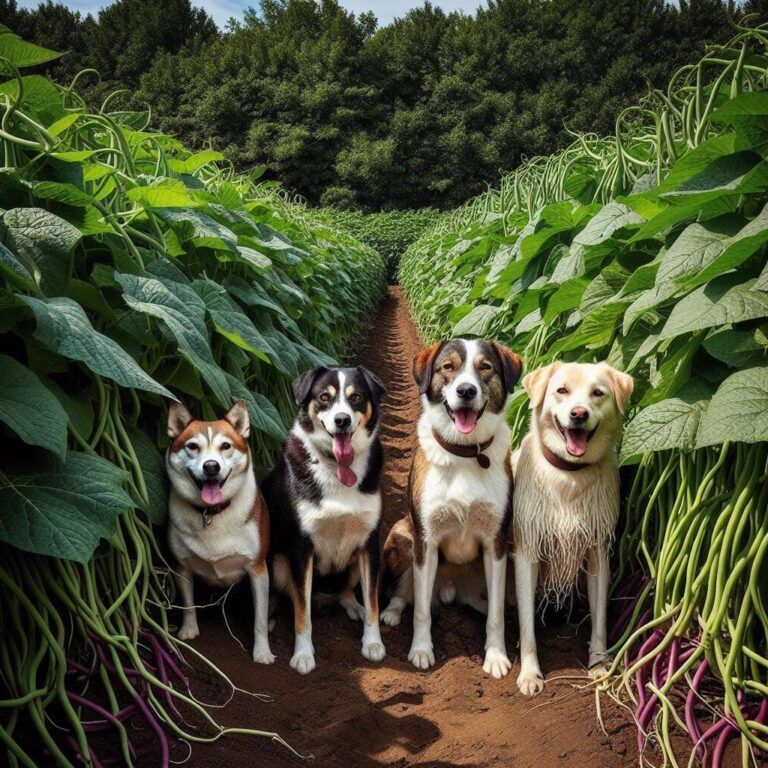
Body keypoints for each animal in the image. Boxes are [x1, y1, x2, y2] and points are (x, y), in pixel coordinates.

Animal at [166, 402, 274, 664]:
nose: (211, 466)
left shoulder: (258, 568)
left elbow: (259, 618)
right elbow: (188, 603)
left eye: (226, 446)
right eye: (192, 446)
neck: (212, 512)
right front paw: (189, 630)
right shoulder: (181, 565)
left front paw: (262, 652)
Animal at [268, 366, 390, 672]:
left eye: (356, 397)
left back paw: (353, 606)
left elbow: (373, 602)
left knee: (346, 591)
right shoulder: (301, 548)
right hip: (278, 561)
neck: (338, 468)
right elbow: (302, 613)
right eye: (324, 397)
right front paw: (303, 655)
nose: (342, 420)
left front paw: (373, 643)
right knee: (295, 599)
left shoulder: (370, 543)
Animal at [382, 338, 520, 680]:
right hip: (403, 535)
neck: (465, 453)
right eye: (448, 367)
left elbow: (496, 613)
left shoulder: (497, 542)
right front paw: (420, 650)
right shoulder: (426, 539)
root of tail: (449, 589)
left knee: (485, 603)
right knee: (405, 593)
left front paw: (496, 656)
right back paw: (391, 613)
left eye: (485, 367)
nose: (466, 391)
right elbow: (420, 610)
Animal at [512, 360, 632, 696]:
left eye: (598, 393)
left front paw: (599, 665)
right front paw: (530, 673)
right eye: (561, 390)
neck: (569, 474)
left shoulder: (598, 552)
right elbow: (527, 623)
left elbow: (600, 618)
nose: (579, 413)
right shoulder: (527, 552)